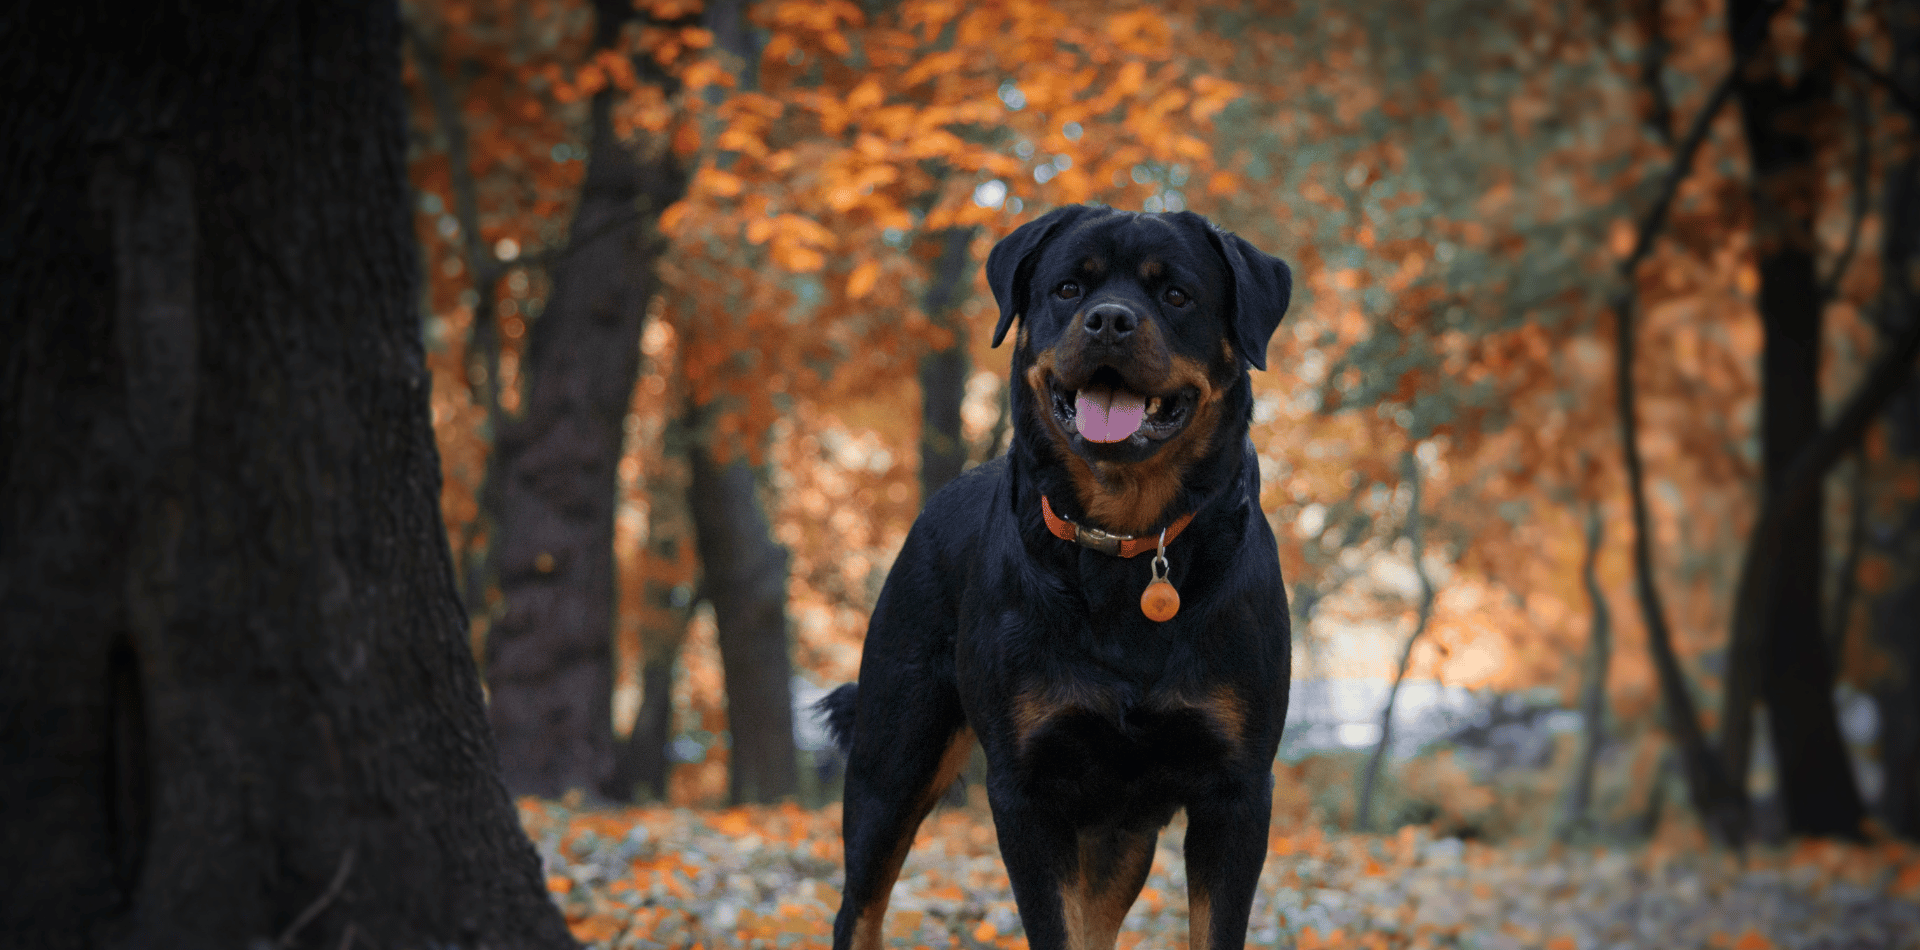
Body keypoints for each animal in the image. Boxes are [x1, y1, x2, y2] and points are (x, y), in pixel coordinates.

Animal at [817, 204, 1297, 948]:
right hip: (893, 759)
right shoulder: (1026, 790)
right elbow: (1053, 925)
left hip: (1123, 826)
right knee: (859, 907)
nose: (1110, 320)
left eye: (1176, 294)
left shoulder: (1238, 789)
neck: (1126, 541)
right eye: (1069, 289)